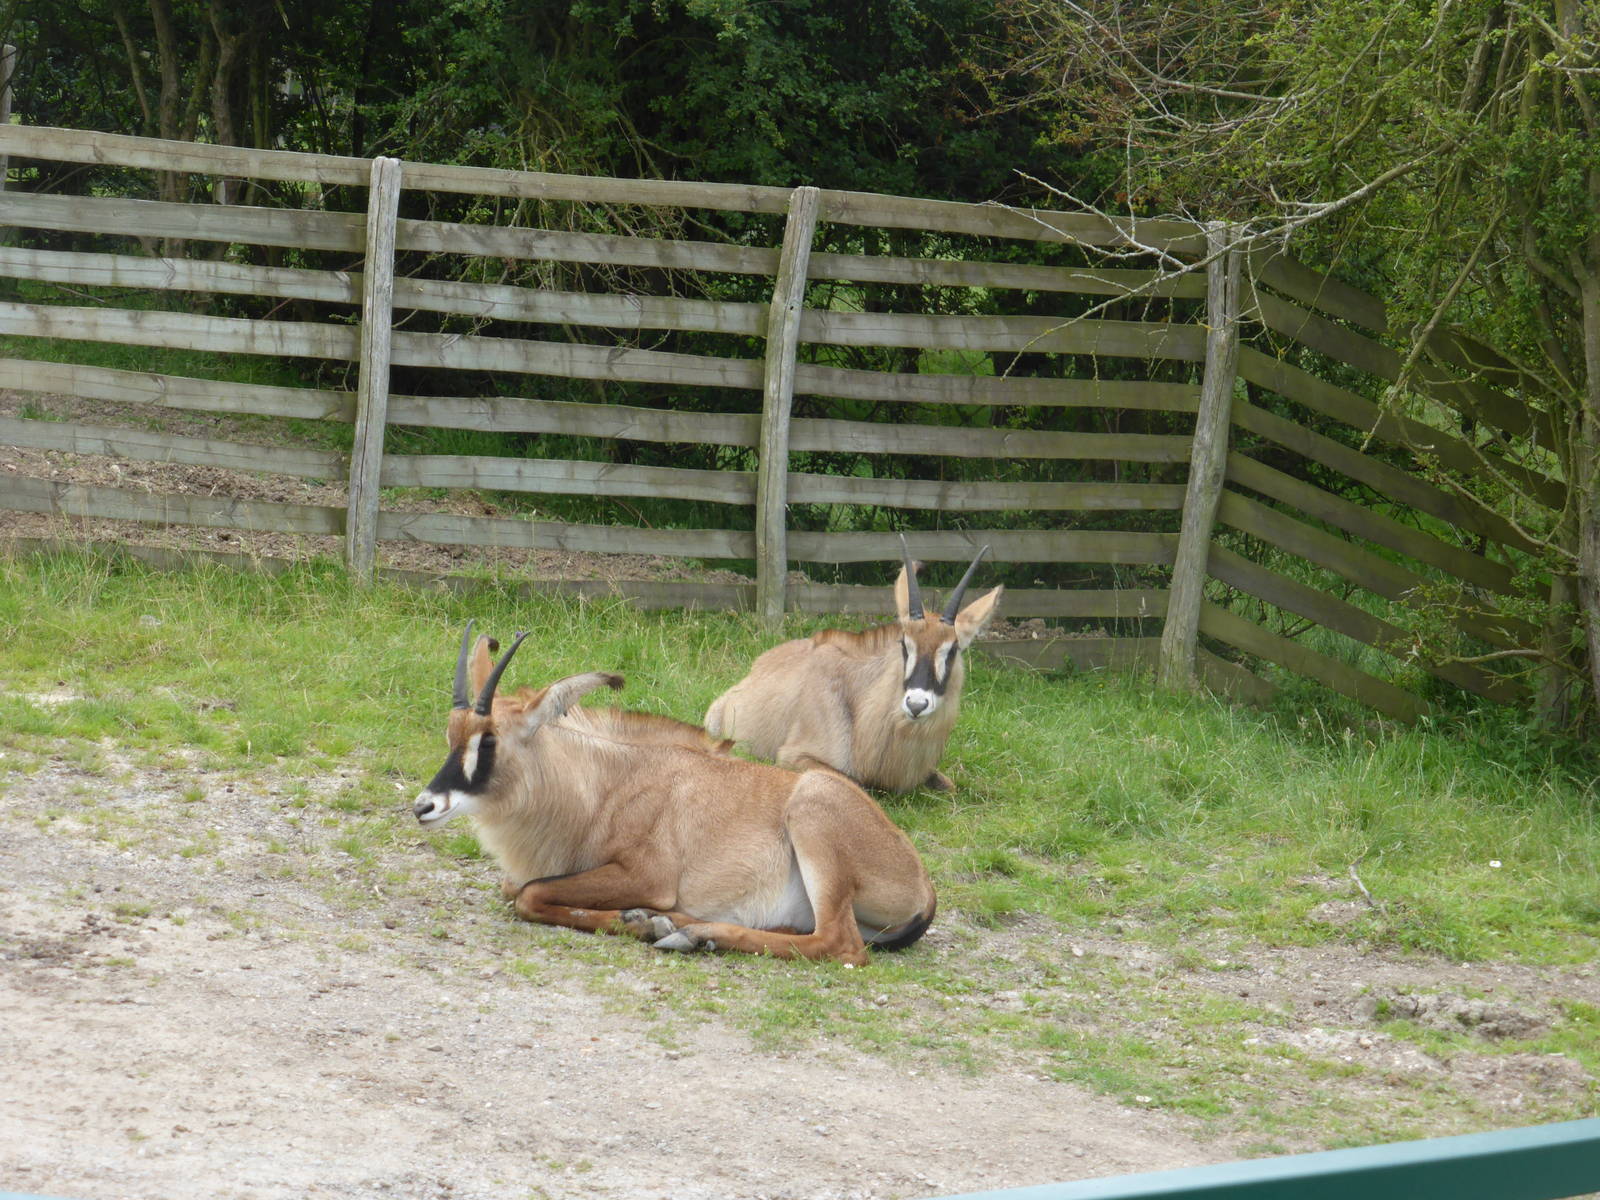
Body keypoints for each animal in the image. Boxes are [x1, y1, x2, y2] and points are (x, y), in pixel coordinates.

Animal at [411, 624, 937, 965]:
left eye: (489, 741)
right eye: (452, 733)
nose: (425, 806)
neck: (601, 787)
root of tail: (923, 886)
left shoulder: (647, 875)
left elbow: (529, 893)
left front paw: (639, 922)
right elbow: (515, 888)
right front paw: (643, 920)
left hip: (814, 815)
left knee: (839, 944)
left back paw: (692, 933)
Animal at [704, 539, 1001, 793]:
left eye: (952, 650)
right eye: (905, 644)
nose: (916, 705)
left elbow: (951, 785)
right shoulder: (794, 757)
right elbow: (856, 782)